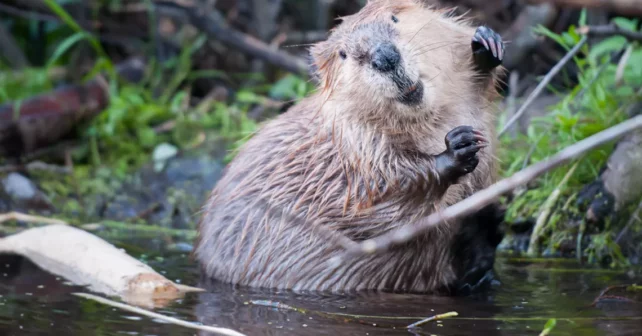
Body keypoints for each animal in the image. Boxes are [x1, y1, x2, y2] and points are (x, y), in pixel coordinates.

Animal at [192, 0, 502, 294]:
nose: (384, 56)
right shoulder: (354, 148)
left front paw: (485, 44)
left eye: (394, 18)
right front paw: (457, 147)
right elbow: (380, 204)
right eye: (343, 53)